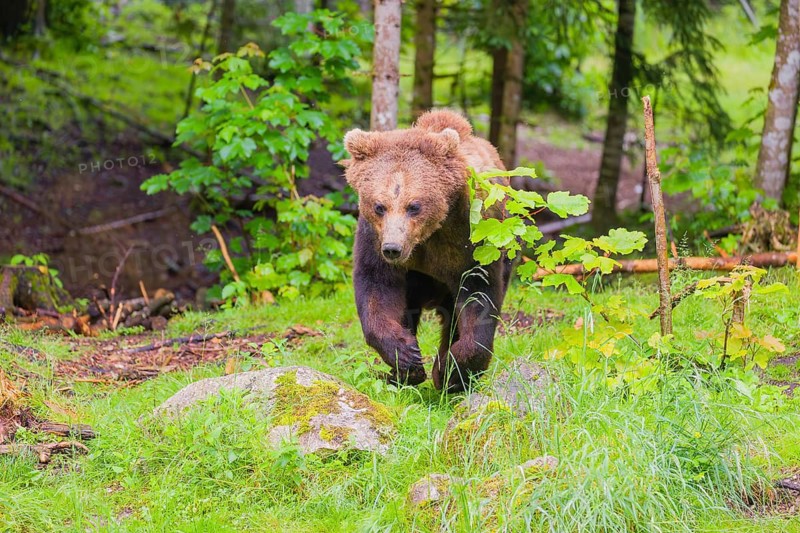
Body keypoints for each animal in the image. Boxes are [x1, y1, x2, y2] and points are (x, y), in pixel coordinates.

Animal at [341, 109, 512, 393]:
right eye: (379, 206)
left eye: (414, 206)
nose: (393, 249)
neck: (425, 238)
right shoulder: (373, 239)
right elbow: (377, 290)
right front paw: (406, 356)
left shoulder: (469, 240)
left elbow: (479, 297)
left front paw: (454, 368)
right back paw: (401, 375)